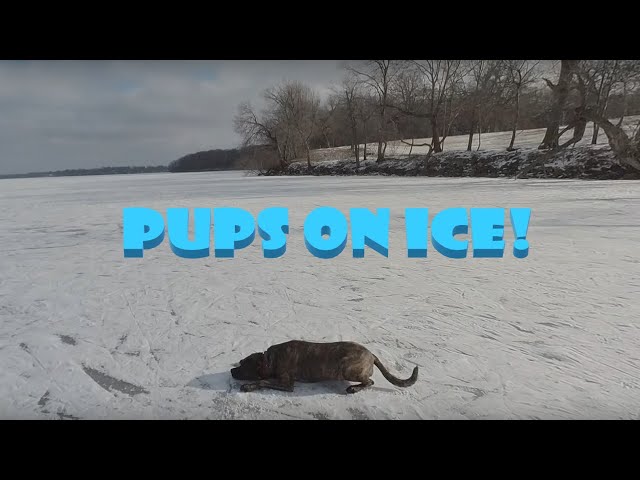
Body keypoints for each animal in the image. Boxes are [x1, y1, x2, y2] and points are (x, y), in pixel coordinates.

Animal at [230, 338, 420, 394]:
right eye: (240, 362)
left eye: (244, 366)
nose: (232, 370)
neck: (270, 360)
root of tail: (371, 355)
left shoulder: (287, 383)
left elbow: (263, 381)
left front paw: (249, 386)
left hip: (347, 368)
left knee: (369, 382)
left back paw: (354, 388)